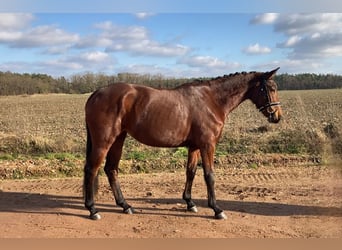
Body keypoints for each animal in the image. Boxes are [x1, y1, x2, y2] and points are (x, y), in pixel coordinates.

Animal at [84, 67, 282, 220]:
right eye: (271, 88)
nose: (277, 116)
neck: (212, 100)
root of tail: (96, 93)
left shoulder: (194, 147)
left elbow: (191, 172)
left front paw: (190, 203)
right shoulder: (207, 145)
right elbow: (209, 175)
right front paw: (217, 209)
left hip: (119, 139)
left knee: (111, 169)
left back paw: (125, 206)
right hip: (104, 141)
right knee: (92, 169)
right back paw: (93, 209)